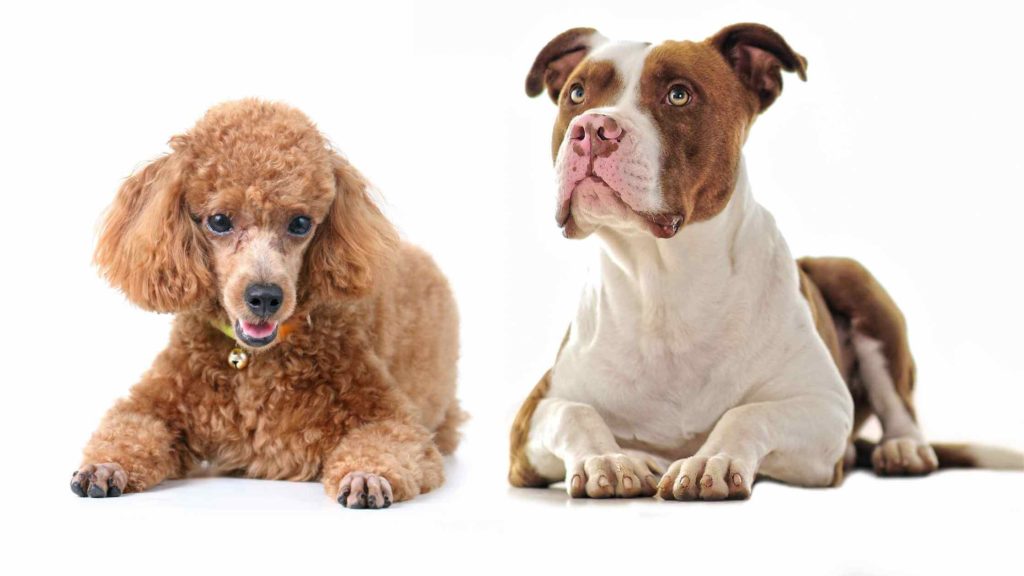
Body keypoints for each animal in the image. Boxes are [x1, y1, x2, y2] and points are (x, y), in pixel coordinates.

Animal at [74, 97, 466, 506]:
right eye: (219, 220)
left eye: (300, 223)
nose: (264, 297)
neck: (254, 361)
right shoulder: (157, 404)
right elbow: (130, 427)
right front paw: (106, 467)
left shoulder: (390, 417)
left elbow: (391, 440)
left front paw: (367, 476)